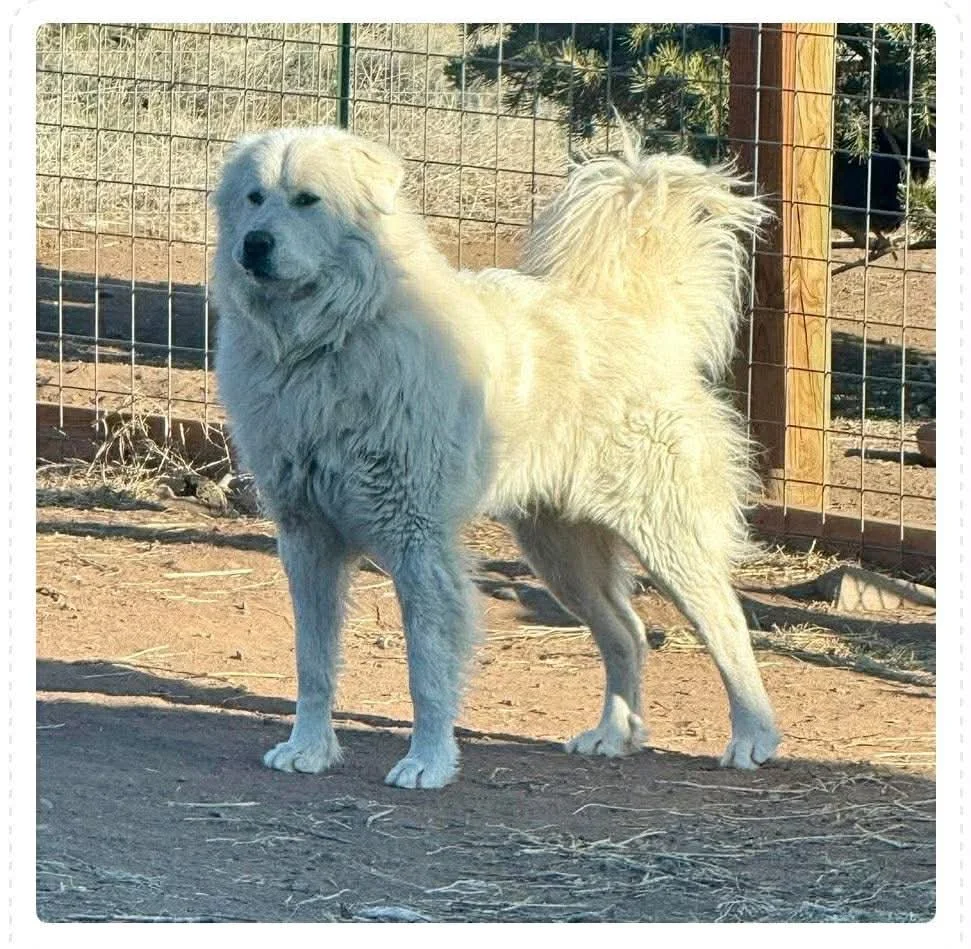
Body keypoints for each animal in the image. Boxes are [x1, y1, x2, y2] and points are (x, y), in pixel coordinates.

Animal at [211, 125, 781, 789]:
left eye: (307, 200)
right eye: (255, 198)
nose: (254, 245)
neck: (328, 341)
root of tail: (639, 318)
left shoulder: (417, 538)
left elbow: (428, 670)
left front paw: (428, 762)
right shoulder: (307, 539)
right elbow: (313, 664)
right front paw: (308, 749)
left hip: (664, 534)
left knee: (727, 626)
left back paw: (753, 737)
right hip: (559, 552)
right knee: (628, 633)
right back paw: (613, 735)